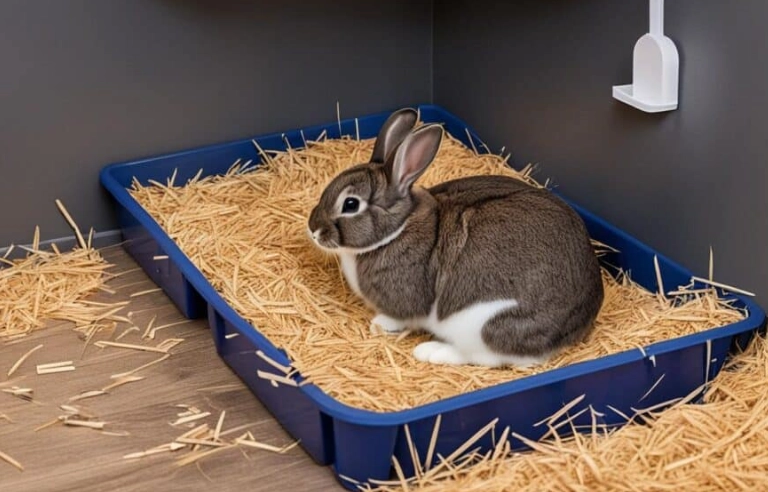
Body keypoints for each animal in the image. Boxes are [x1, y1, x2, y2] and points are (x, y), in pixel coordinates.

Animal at [307, 108, 604, 368]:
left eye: (350, 204)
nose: (313, 229)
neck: (397, 229)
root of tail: (574, 327)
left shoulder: (406, 304)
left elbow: (399, 318)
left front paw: (379, 324)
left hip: (481, 324)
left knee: (484, 357)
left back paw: (431, 351)